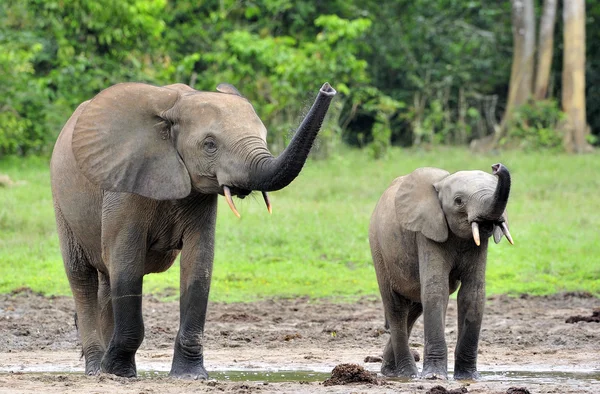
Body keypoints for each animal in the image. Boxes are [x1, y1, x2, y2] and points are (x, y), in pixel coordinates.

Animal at [49, 81, 336, 378]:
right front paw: (119, 372)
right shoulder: (125, 183)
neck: (174, 109)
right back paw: (97, 369)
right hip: (61, 200)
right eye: (209, 144)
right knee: (82, 277)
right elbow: (126, 265)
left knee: (106, 279)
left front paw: (190, 375)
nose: (328, 89)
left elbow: (198, 267)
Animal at [368, 162, 512, 378]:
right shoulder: (427, 231)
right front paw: (434, 376)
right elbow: (437, 290)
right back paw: (407, 374)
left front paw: (468, 377)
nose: (497, 167)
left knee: (414, 310)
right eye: (459, 201)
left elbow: (473, 294)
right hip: (378, 248)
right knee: (396, 308)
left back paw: (390, 372)